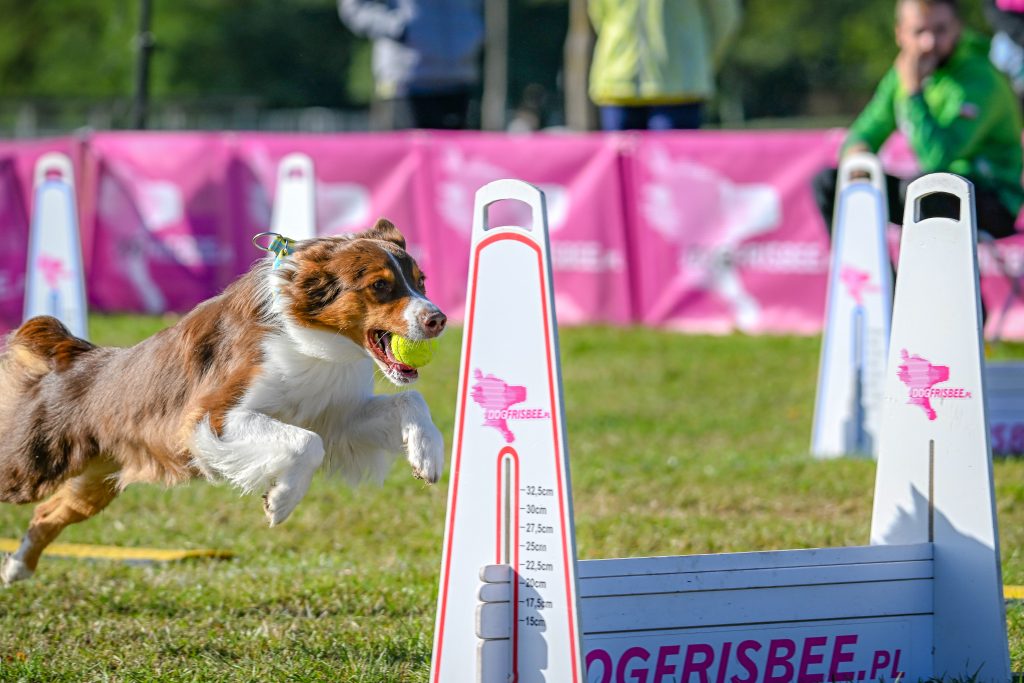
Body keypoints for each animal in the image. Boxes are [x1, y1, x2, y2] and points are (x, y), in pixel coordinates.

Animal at [1, 222, 448, 585]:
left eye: (422, 282)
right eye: (379, 286)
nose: (438, 319)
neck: (312, 343)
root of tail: (75, 358)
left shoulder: (336, 417)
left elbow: (409, 399)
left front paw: (426, 455)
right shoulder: (213, 415)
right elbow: (306, 443)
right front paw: (280, 501)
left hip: (96, 481)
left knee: (48, 513)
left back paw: (18, 568)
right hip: (31, 464)